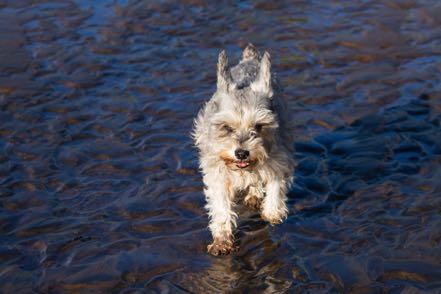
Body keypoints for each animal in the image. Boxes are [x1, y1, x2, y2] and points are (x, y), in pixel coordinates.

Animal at [192, 43, 292, 255]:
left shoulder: (280, 160)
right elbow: (221, 206)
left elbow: (276, 185)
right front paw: (222, 240)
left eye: (259, 126)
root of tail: (249, 60)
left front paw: (272, 211)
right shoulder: (217, 174)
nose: (242, 153)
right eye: (226, 127)